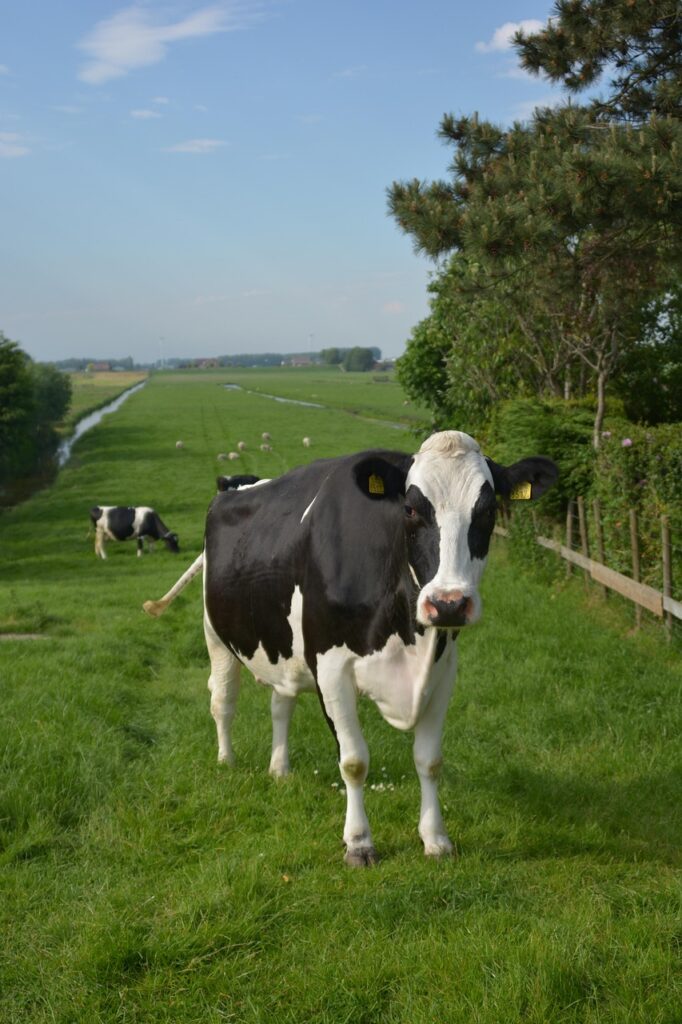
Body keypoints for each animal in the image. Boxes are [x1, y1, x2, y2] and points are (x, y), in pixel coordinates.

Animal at [144, 431, 557, 865]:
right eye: (410, 508)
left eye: (489, 509)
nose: (448, 603)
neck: (408, 637)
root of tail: (232, 489)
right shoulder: (331, 668)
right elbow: (355, 760)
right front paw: (359, 843)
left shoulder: (443, 670)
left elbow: (429, 760)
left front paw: (436, 839)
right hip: (216, 637)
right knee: (222, 700)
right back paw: (227, 761)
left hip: (284, 647)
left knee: (281, 704)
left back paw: (279, 769)